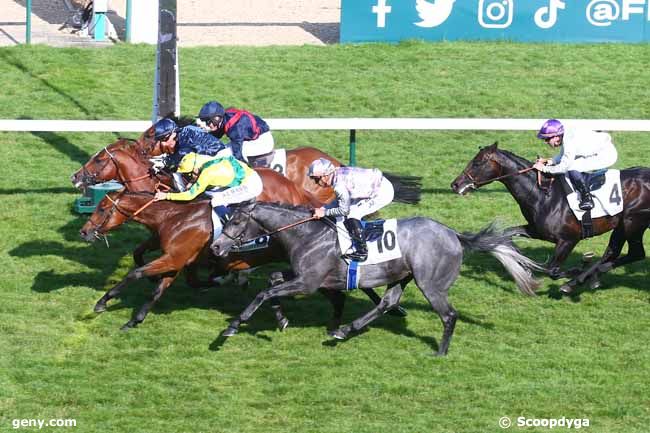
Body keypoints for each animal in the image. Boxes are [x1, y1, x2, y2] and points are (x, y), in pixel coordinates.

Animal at [213, 201, 540, 356]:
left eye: (238, 221)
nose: (216, 247)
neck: (307, 233)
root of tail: (454, 235)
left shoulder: (308, 281)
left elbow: (264, 292)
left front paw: (232, 327)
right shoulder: (306, 276)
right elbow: (272, 281)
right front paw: (281, 319)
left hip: (430, 284)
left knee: (448, 315)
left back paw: (440, 352)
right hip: (401, 275)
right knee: (387, 302)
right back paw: (346, 330)